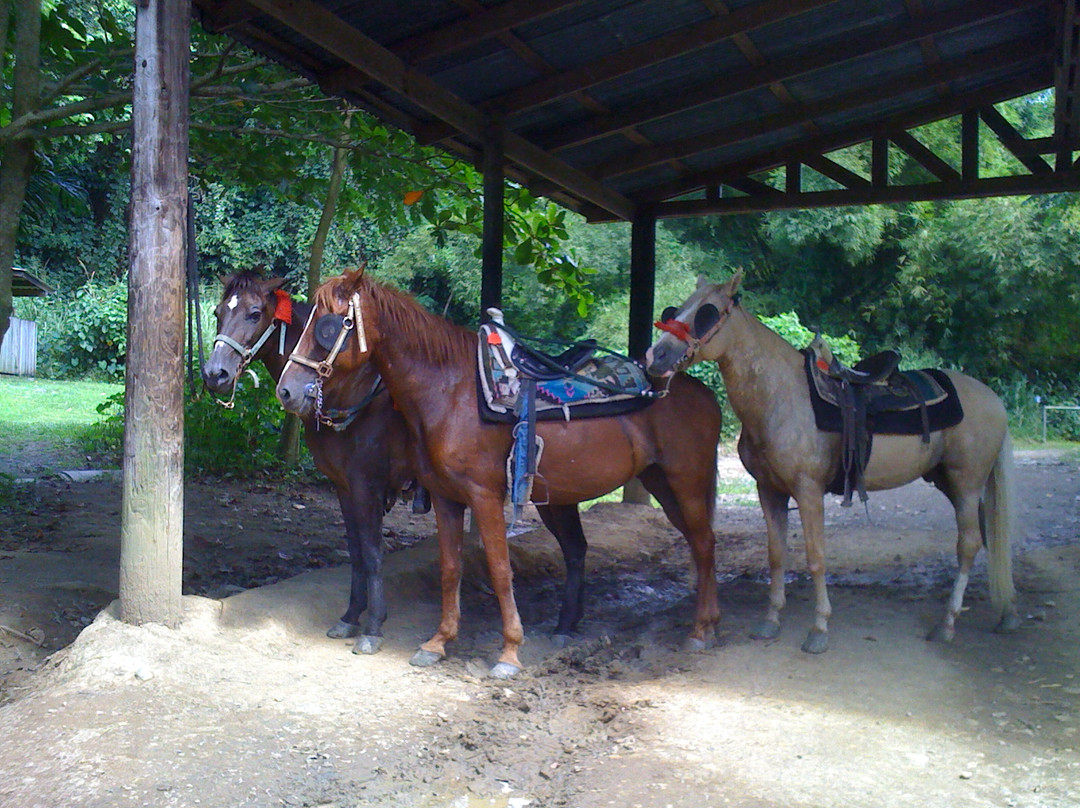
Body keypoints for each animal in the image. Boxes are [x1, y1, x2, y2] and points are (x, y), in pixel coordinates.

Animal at [203, 271, 421, 656]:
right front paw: (350, 616)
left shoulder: (367, 485)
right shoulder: (344, 486)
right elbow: (355, 551)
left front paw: (373, 627)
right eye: (217, 311)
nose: (215, 374)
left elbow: (373, 553)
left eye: (255, 314)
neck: (350, 393)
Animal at [278, 267, 721, 678]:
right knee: (620, 547)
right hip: (649, 485)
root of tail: (701, 393)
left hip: (686, 482)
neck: (451, 393)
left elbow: (499, 569)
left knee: (703, 543)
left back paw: (702, 629)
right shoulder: (445, 498)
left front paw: (509, 652)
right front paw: (438, 642)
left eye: (330, 325)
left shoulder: (482, 497)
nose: (287, 390)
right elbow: (451, 568)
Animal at [648, 274, 1019, 652]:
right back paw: (1006, 613)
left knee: (968, 544)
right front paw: (770, 621)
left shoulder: (808, 491)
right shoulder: (769, 491)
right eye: (676, 309)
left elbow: (816, 557)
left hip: (967, 482)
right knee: (989, 537)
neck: (783, 397)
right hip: (951, 483)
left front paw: (819, 629)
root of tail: (992, 398)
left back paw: (947, 623)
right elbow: (776, 555)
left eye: (707, 313)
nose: (656, 355)